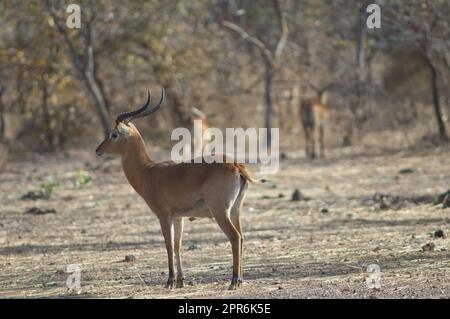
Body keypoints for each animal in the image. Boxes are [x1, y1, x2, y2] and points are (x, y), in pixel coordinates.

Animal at [96, 89, 255, 290]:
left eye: (114, 134)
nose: (98, 150)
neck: (147, 171)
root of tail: (236, 165)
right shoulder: (179, 217)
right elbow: (178, 245)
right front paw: (180, 280)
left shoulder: (164, 216)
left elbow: (168, 245)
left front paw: (170, 281)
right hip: (235, 210)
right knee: (242, 237)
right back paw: (240, 280)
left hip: (220, 212)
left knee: (235, 237)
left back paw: (234, 281)